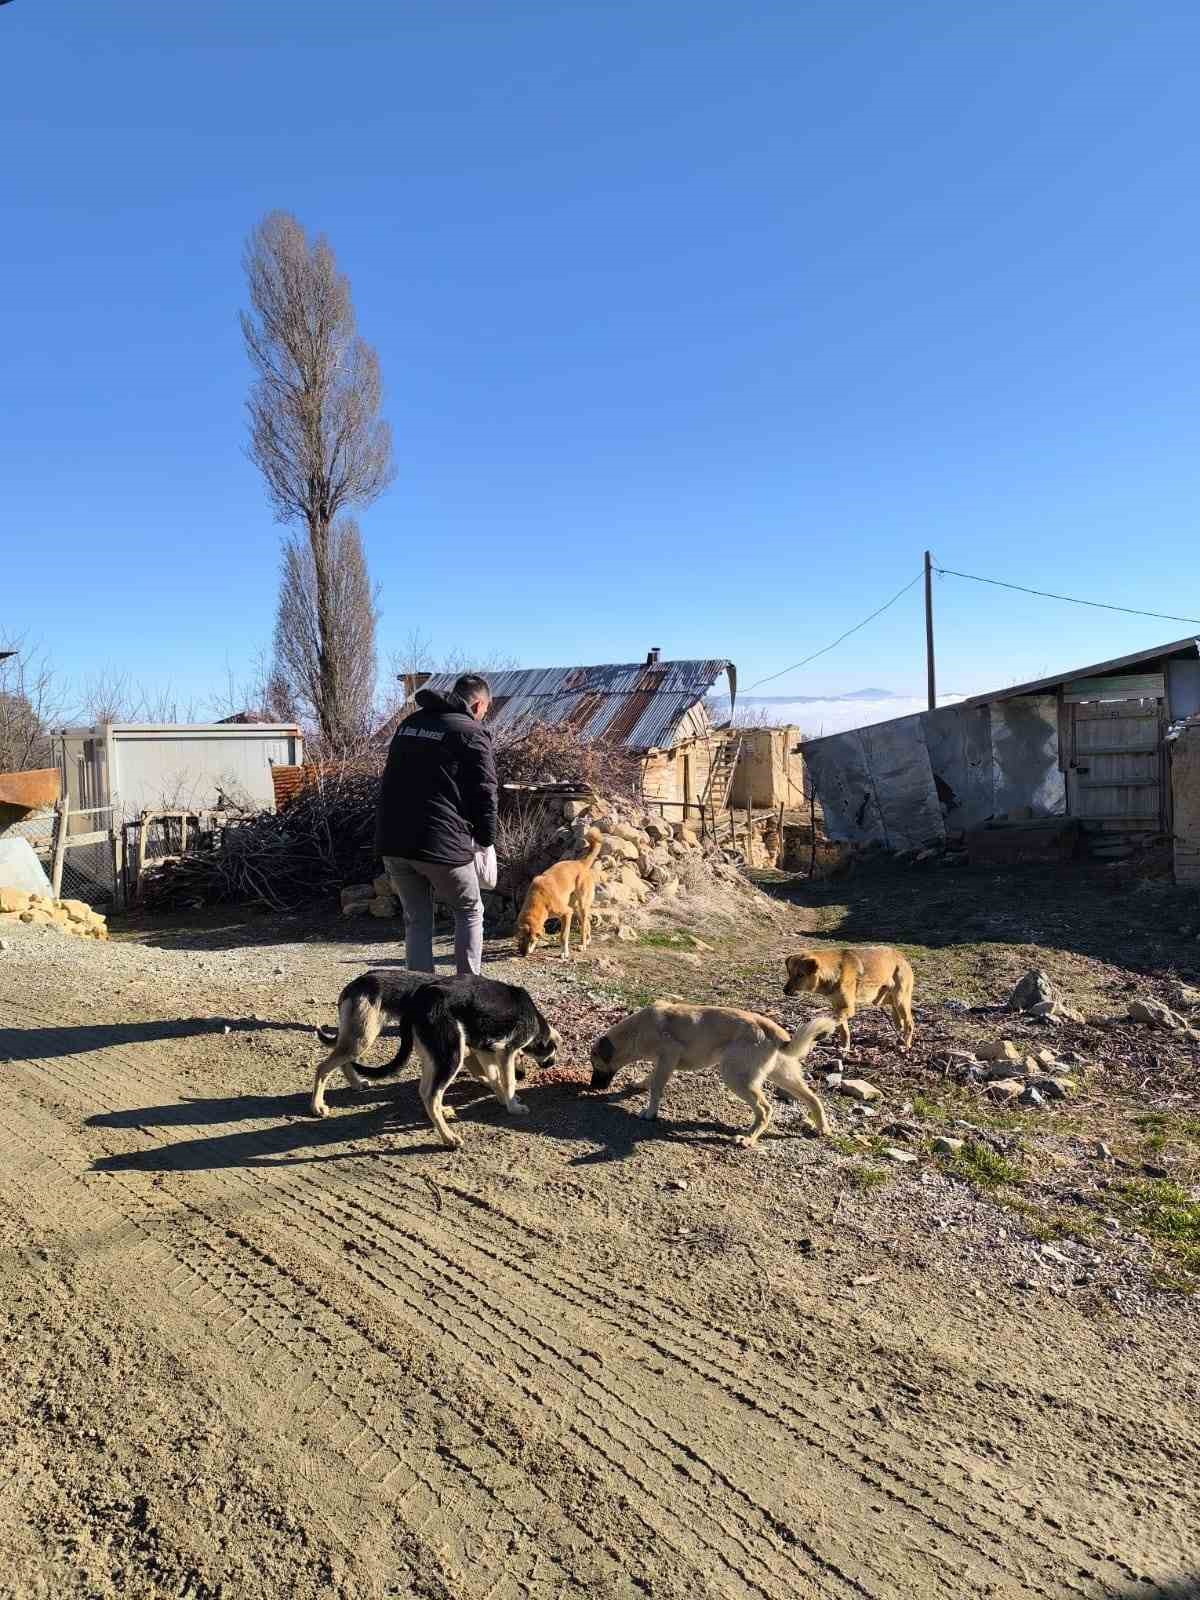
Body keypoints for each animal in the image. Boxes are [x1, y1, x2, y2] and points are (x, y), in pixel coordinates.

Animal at [307, 960, 556, 1152]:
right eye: (521, 1056)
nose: (524, 1076)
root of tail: (355, 983)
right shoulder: (499, 1051)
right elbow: (504, 1080)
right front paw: (512, 1103)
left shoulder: (482, 1049)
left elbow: (494, 1078)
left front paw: (502, 1096)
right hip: (418, 1049)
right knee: (325, 1067)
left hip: (383, 1043)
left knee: (423, 1089)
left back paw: (357, 1083)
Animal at [588, 1004, 838, 1145]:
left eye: (595, 1066)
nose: (592, 1088)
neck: (636, 1030)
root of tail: (772, 1031)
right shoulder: (664, 1062)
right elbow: (651, 1078)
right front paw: (640, 1084)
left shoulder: (668, 1055)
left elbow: (657, 1087)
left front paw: (650, 1113)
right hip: (783, 1077)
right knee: (813, 1098)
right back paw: (822, 1127)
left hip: (735, 1077)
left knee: (765, 1109)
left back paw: (748, 1139)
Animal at [784, 940, 915, 1056]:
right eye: (789, 973)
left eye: (800, 975)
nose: (784, 990)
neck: (834, 972)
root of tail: (901, 957)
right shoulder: (838, 1006)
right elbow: (844, 1031)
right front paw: (845, 1048)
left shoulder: (847, 1009)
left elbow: (832, 1021)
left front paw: (820, 1034)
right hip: (883, 1000)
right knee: (899, 1021)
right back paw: (900, 1039)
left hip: (900, 1000)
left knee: (909, 1022)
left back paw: (906, 1045)